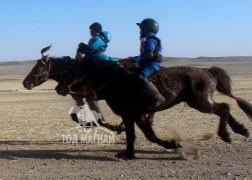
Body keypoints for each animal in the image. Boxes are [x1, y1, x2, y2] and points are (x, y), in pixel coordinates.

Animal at [23, 46, 252, 159]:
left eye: (38, 67)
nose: (26, 82)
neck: (111, 78)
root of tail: (207, 70)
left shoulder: (101, 100)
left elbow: (139, 131)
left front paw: (172, 143)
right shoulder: (100, 102)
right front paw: (126, 148)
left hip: (200, 102)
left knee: (224, 107)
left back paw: (229, 133)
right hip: (201, 101)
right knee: (224, 108)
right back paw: (238, 130)